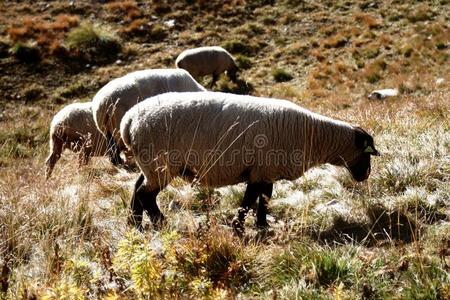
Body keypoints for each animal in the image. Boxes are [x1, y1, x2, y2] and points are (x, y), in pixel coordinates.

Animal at [119, 91, 380, 232]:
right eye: (367, 153)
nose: (365, 175)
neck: (313, 136)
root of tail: (128, 121)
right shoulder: (260, 171)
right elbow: (248, 201)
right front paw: (239, 227)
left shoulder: (266, 171)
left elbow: (263, 200)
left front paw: (262, 225)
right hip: (160, 163)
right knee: (145, 194)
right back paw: (160, 222)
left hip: (150, 163)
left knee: (137, 187)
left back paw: (135, 223)